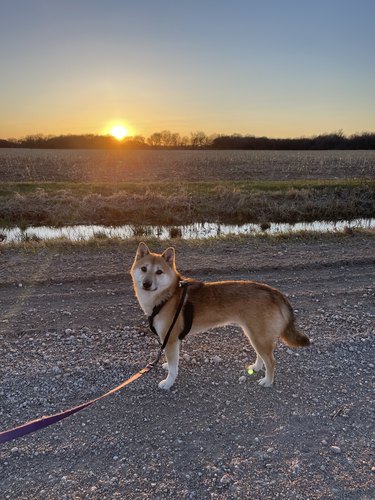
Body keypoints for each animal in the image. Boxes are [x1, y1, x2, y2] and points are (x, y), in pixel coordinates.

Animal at [131, 242, 310, 390]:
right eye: (144, 269)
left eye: (159, 272)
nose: (146, 284)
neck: (167, 296)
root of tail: (273, 291)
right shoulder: (172, 340)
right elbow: (173, 362)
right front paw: (168, 367)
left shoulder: (170, 339)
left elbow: (174, 367)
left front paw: (168, 382)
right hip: (254, 333)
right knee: (262, 355)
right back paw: (257, 367)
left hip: (258, 335)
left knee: (271, 361)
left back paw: (267, 381)